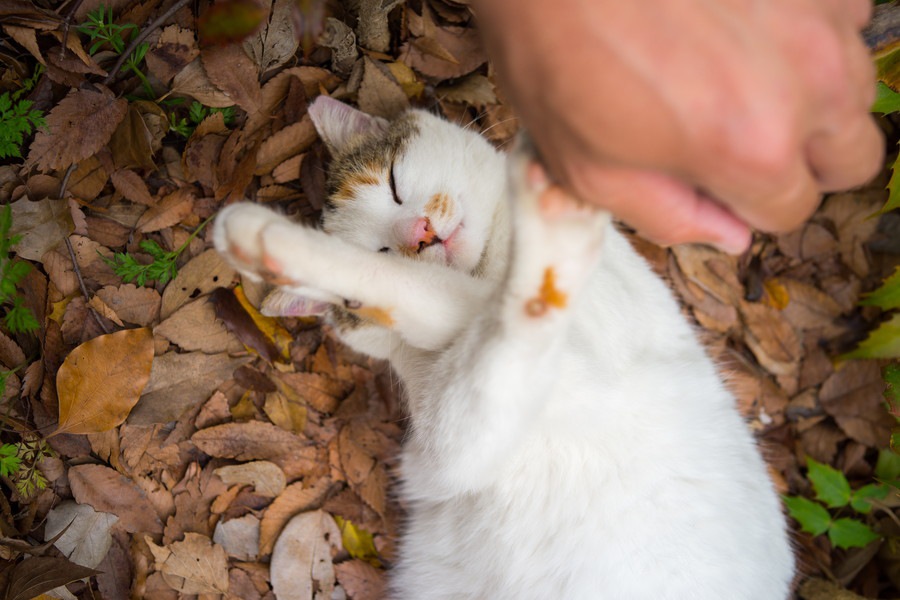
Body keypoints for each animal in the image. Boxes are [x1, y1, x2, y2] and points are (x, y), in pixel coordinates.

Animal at [214, 96, 792, 596]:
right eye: (383, 247)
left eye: (395, 183)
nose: (419, 234)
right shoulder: (453, 453)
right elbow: (456, 308)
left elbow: (472, 302)